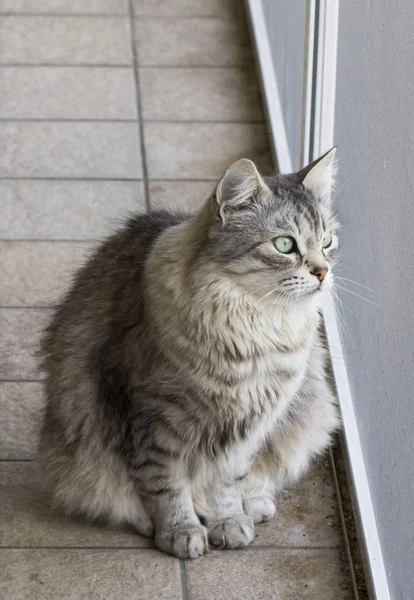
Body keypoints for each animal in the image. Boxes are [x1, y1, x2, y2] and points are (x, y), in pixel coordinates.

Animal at [38, 149, 340, 556]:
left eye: (327, 241)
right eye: (284, 245)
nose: (323, 272)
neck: (254, 334)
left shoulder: (252, 423)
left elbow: (228, 484)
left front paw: (228, 522)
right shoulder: (153, 416)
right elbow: (166, 484)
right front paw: (180, 531)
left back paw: (255, 505)